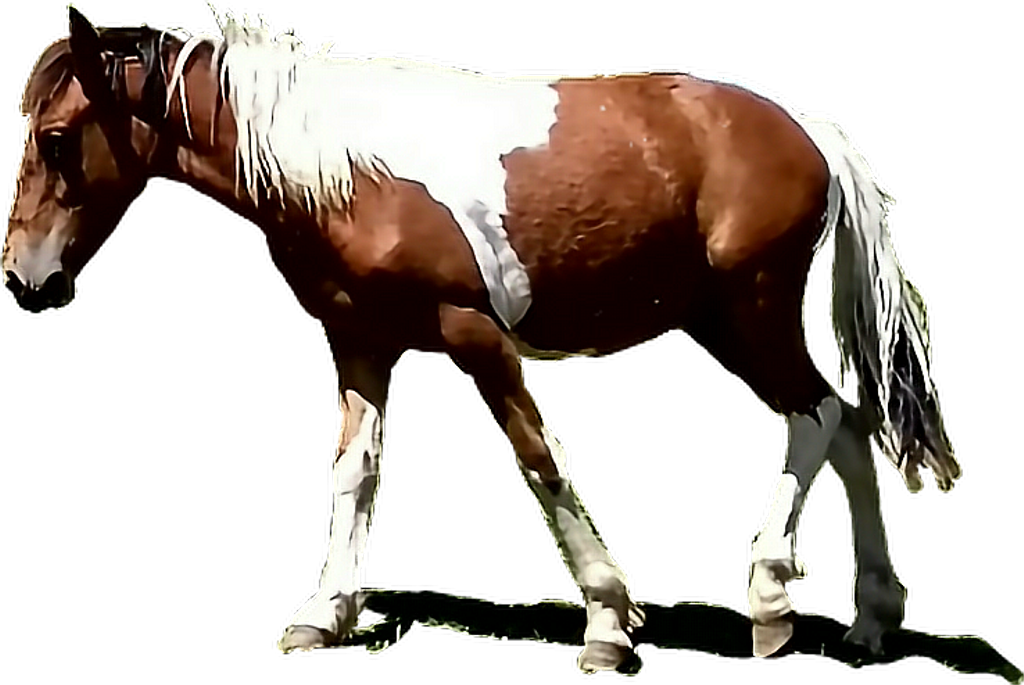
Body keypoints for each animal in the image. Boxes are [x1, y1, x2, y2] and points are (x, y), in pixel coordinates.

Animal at [4, 4, 960, 672]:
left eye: (55, 138)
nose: (23, 279)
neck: (347, 170)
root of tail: (810, 130)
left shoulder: (475, 337)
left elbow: (539, 458)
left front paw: (609, 621)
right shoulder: (359, 342)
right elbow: (355, 471)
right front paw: (323, 613)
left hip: (750, 311)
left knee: (817, 417)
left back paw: (771, 598)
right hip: (732, 321)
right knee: (849, 426)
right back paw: (872, 617)